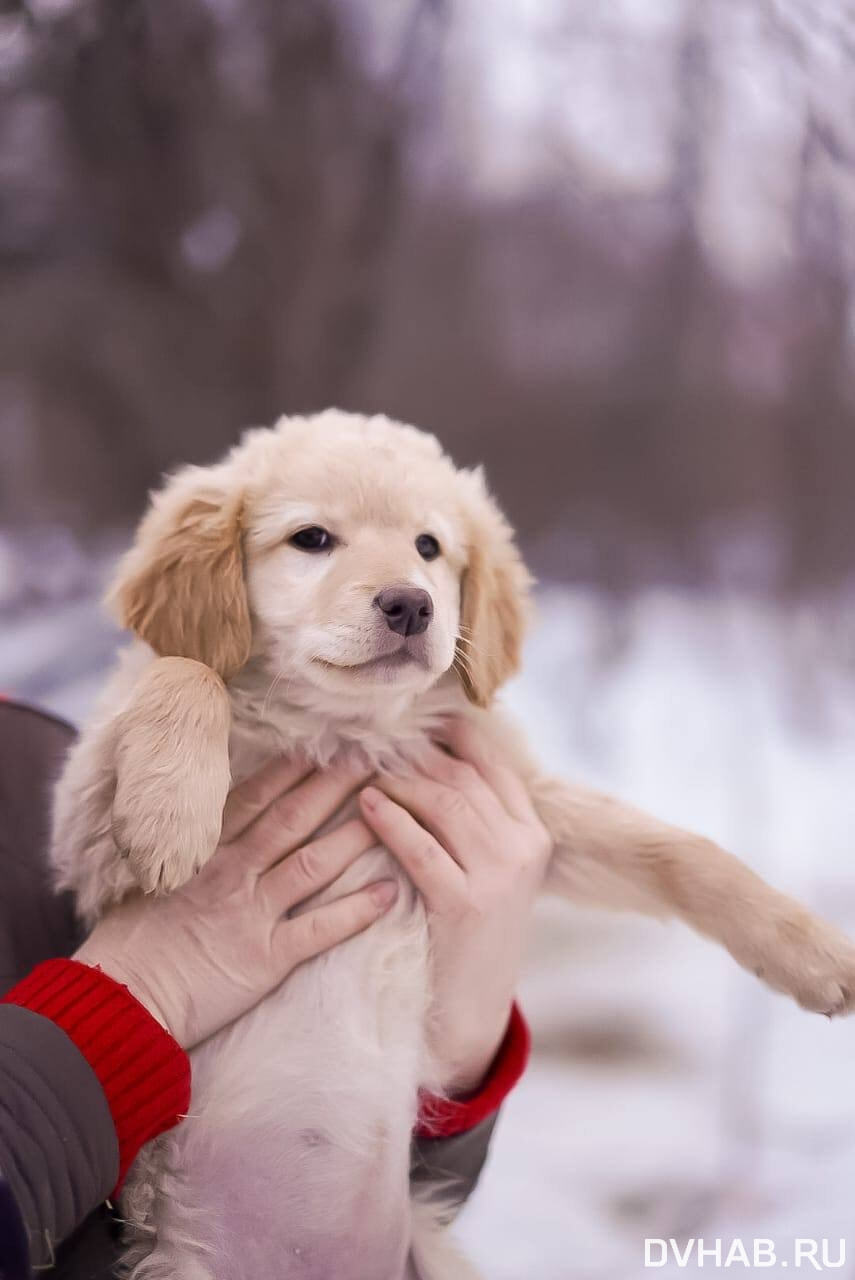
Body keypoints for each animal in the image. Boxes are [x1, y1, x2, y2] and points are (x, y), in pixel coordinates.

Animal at [50, 409, 855, 1280]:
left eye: (428, 547)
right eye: (311, 539)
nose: (410, 605)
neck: (348, 732)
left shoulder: (525, 806)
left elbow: (681, 851)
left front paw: (813, 953)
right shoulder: (86, 844)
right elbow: (185, 668)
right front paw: (169, 813)